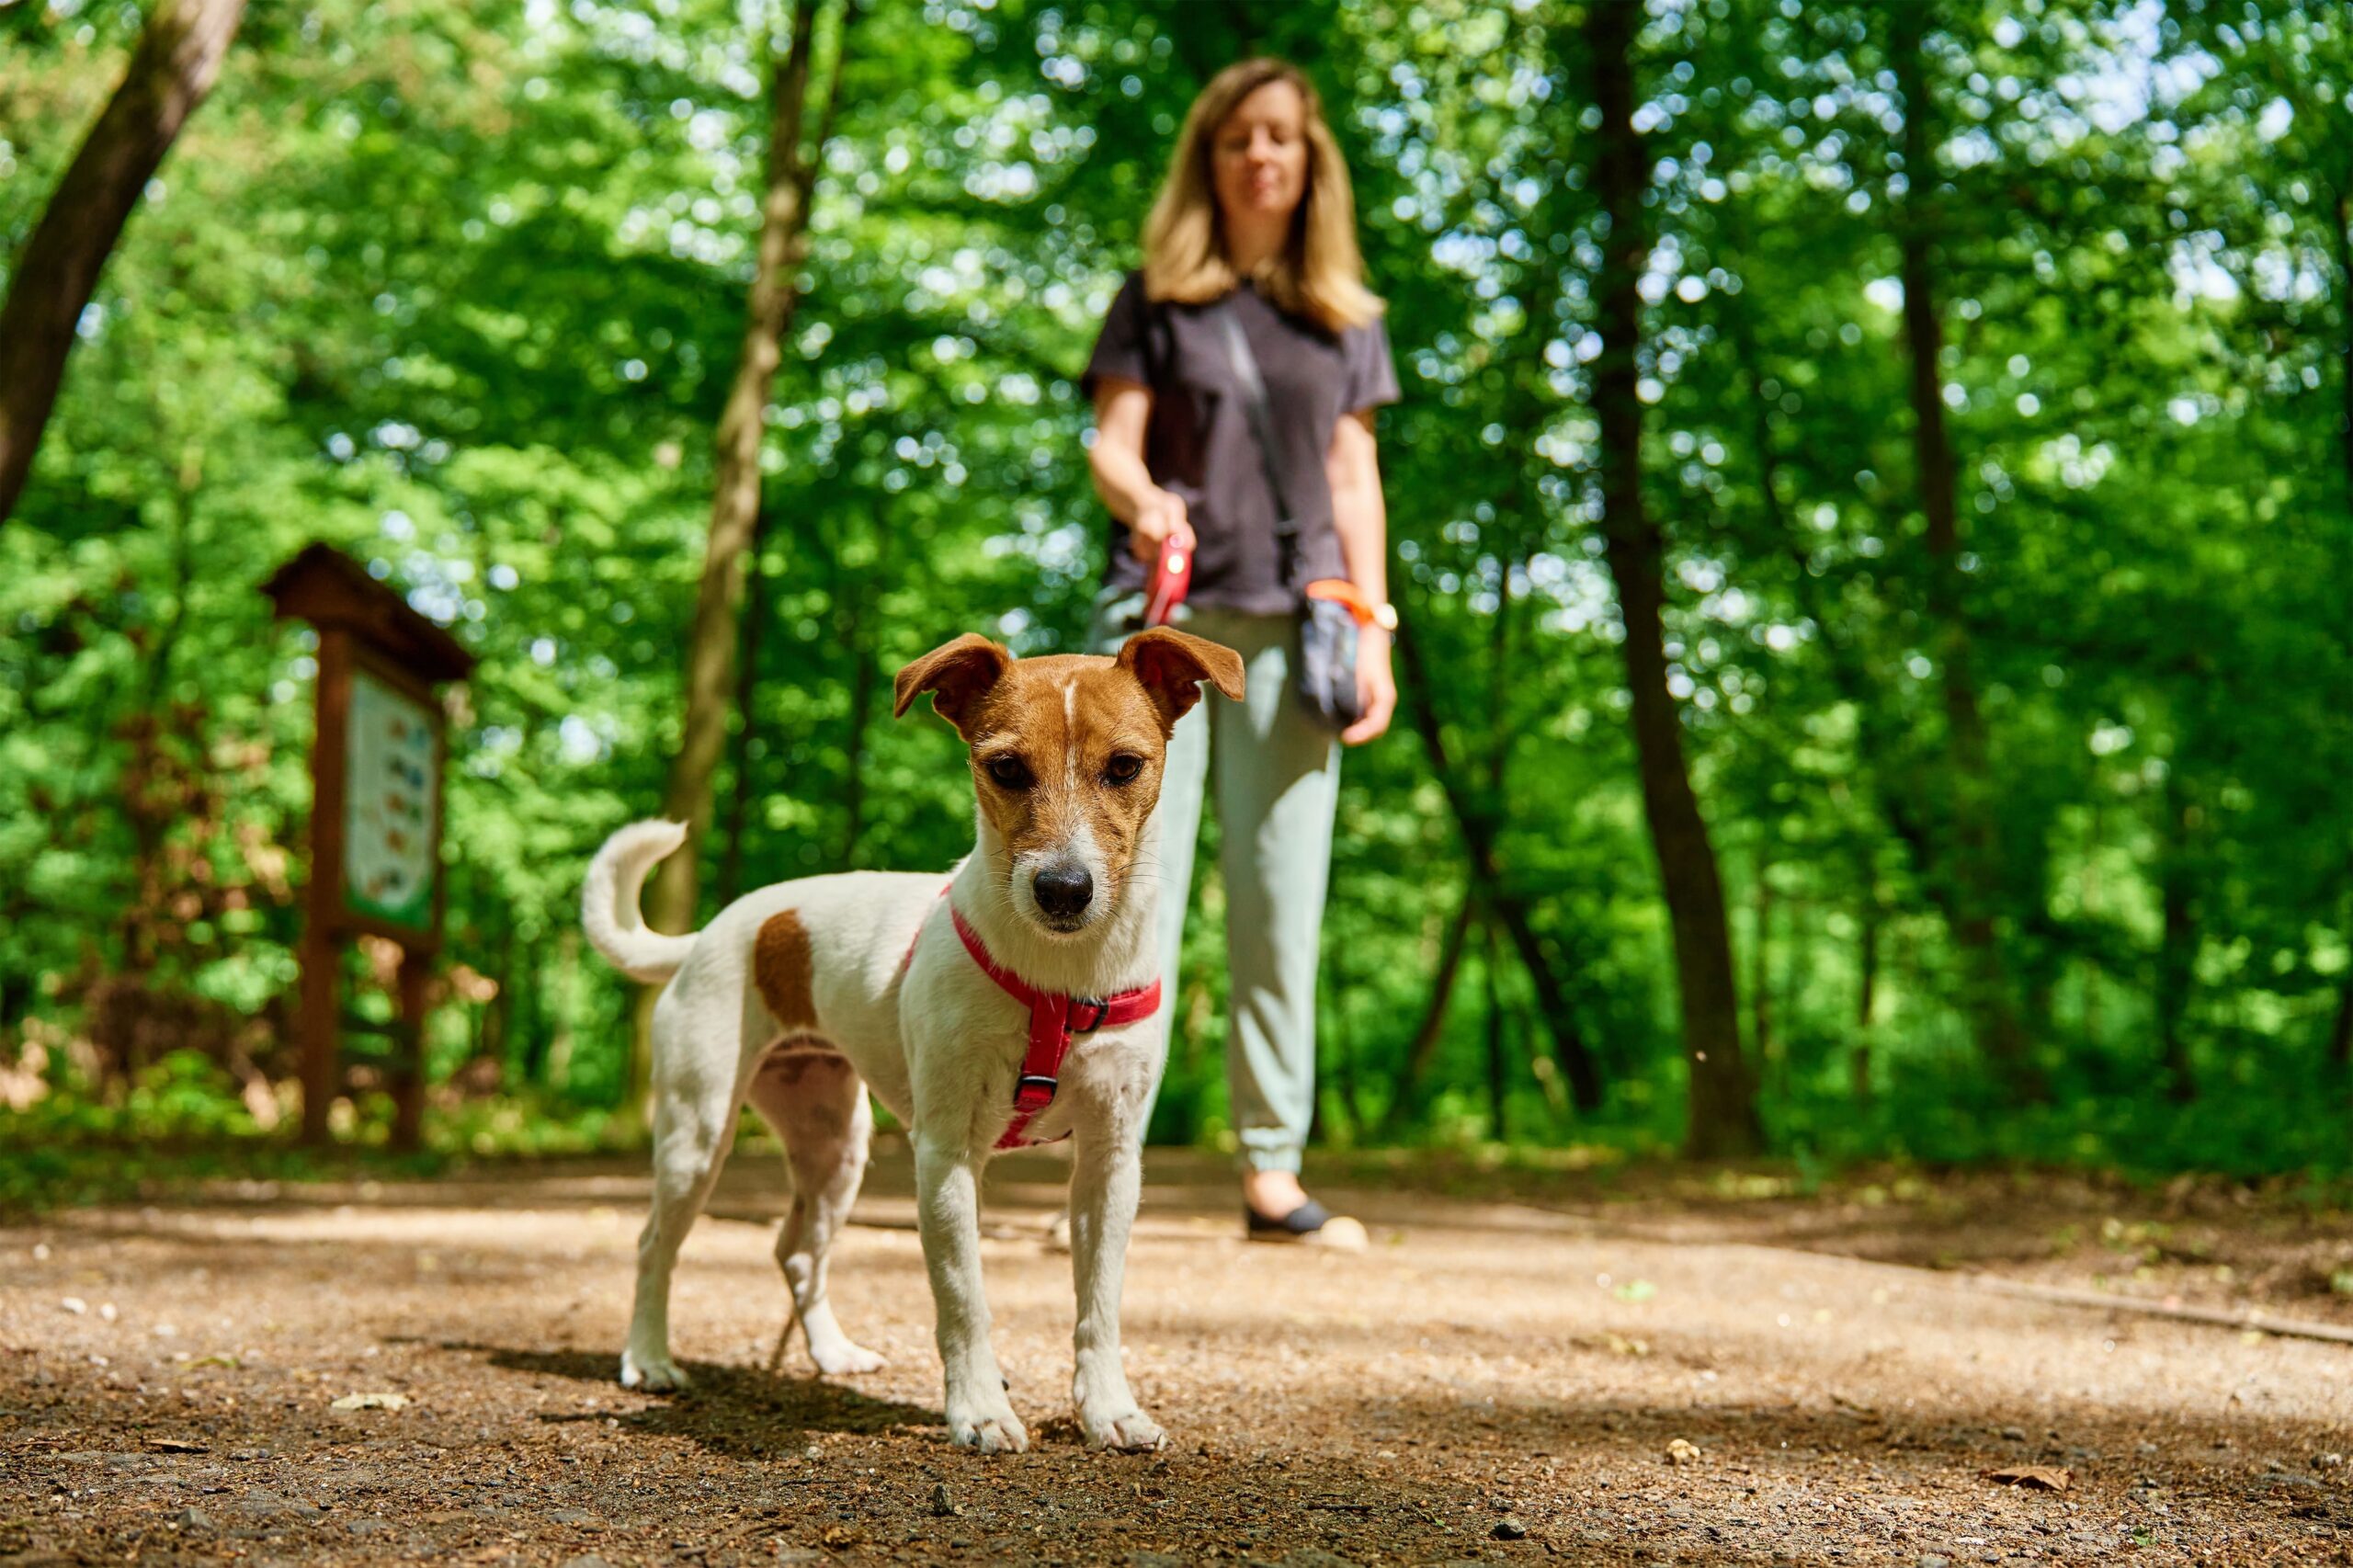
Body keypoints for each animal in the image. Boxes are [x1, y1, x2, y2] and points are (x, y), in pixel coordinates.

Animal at [581, 626, 1251, 1449]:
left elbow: (1099, 1308)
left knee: (797, 1252)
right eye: (1006, 767)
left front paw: (1108, 1409)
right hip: (696, 1137)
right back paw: (647, 1358)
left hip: (835, 1149)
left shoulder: (1110, 1162)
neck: (1060, 980)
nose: (1063, 890)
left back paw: (831, 1353)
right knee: (656, 1247)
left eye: (1125, 766)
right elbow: (964, 1300)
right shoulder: (946, 1156)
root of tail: (711, 934)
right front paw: (980, 1409)